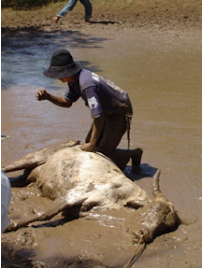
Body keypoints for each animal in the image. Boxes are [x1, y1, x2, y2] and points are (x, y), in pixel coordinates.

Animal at [1, 140, 178, 266]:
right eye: (154, 208)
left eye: (164, 226)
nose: (143, 234)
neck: (121, 197)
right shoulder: (75, 193)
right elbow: (45, 214)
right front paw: (11, 226)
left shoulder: (81, 209)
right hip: (32, 158)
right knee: (6, 167)